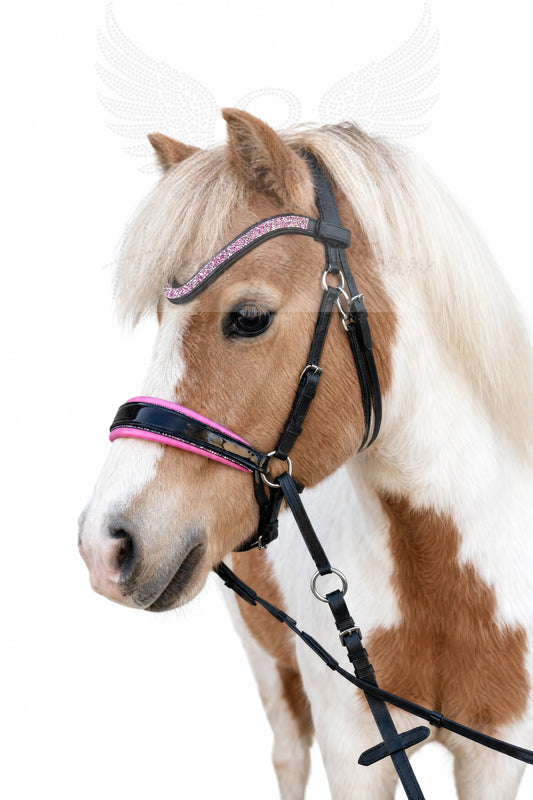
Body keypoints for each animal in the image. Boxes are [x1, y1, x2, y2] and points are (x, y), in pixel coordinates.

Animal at [78, 108, 533, 799]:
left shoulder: (497, 755)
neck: (447, 581)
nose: (105, 543)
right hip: (265, 657)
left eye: (249, 317)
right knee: (287, 754)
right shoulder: (354, 749)